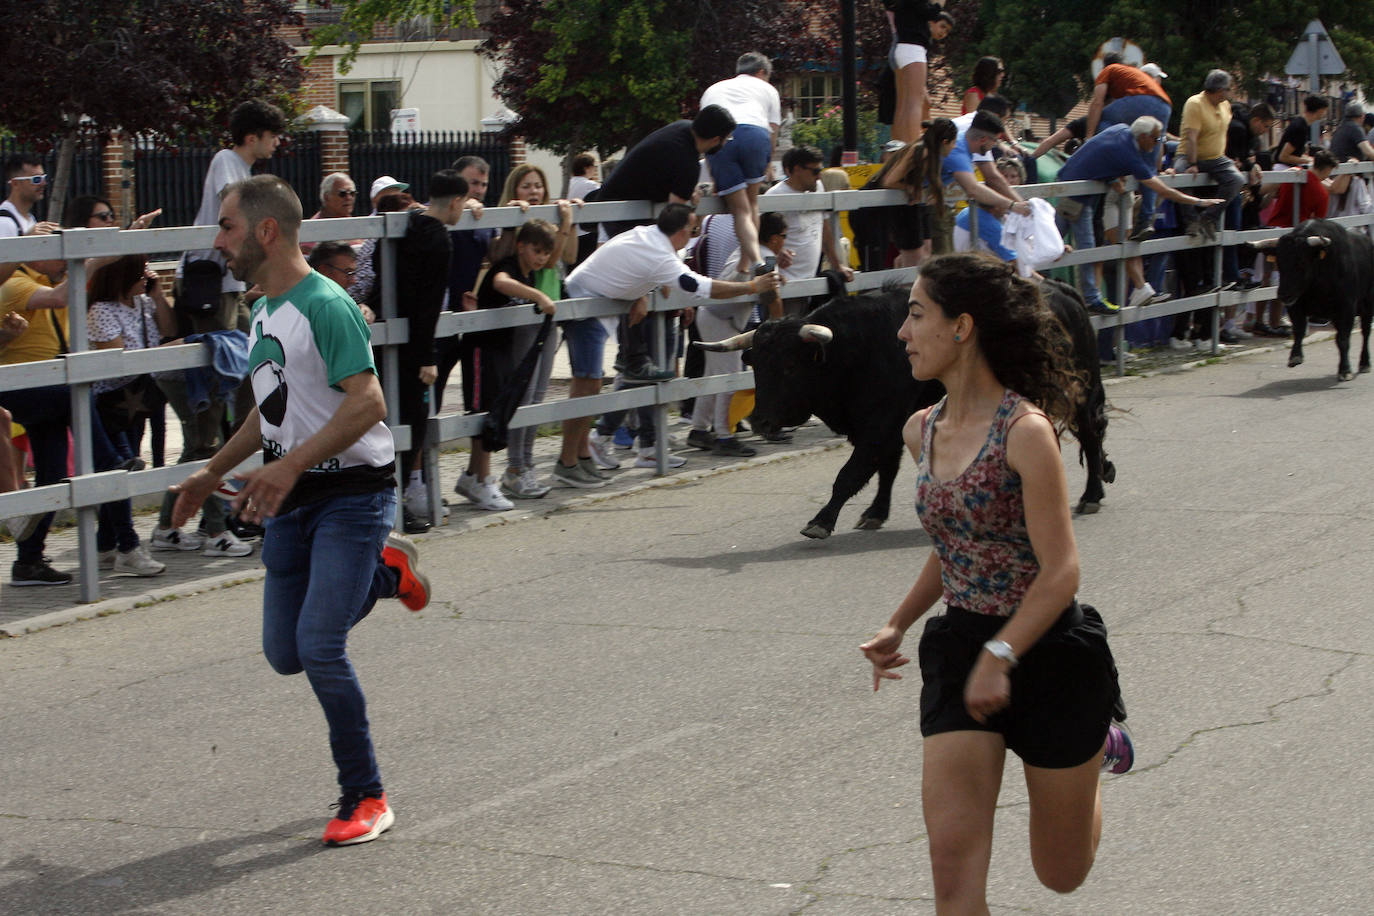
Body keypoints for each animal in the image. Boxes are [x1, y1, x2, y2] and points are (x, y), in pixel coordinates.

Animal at [697, 280, 1115, 538]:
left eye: (787, 366)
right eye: (755, 364)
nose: (760, 421)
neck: (855, 350)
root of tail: (1061, 291)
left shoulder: (878, 425)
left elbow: (849, 475)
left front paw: (821, 520)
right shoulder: (888, 426)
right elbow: (885, 470)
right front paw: (875, 512)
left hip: (1079, 393)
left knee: (1091, 434)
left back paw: (1092, 494)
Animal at [1258, 218, 1374, 379]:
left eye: (1301, 262)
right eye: (1279, 262)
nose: (1283, 294)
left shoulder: (1347, 307)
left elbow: (1343, 339)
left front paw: (1345, 370)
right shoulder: (1295, 306)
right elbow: (1299, 331)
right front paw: (1295, 357)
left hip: (1368, 304)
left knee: (1366, 331)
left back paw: (1365, 363)